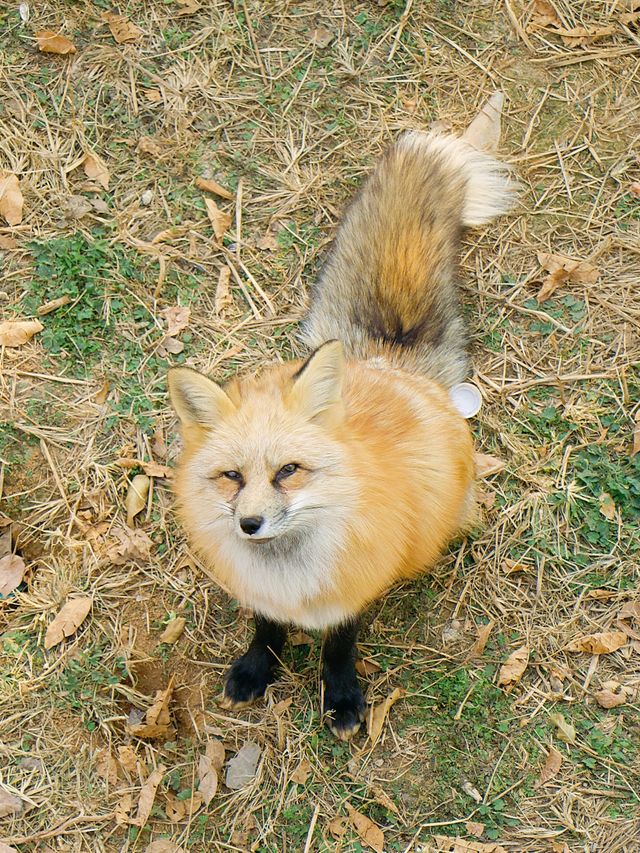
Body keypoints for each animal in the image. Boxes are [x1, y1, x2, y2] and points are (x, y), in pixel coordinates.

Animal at [169, 128, 516, 740]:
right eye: (232, 476)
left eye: (288, 471)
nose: (249, 524)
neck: (292, 576)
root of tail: (381, 359)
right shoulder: (263, 596)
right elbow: (266, 629)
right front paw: (259, 667)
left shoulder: (355, 585)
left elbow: (338, 646)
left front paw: (342, 698)